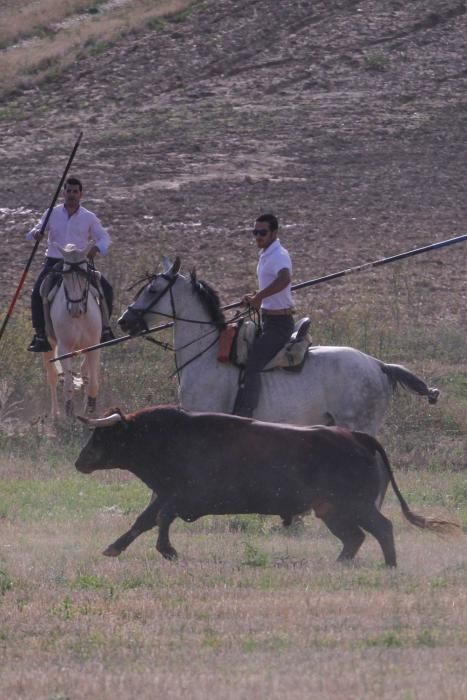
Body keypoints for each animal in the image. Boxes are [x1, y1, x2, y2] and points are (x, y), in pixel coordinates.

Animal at [43, 245, 101, 416]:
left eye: (84, 274)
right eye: (65, 276)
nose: (76, 310)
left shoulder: (94, 346)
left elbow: (92, 381)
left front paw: (90, 407)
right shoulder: (64, 349)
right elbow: (68, 384)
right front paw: (69, 412)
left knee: (84, 370)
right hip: (49, 346)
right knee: (52, 377)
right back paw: (55, 414)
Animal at [75, 408, 458, 568]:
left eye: (102, 436)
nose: (80, 462)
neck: (165, 438)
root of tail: (357, 437)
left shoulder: (182, 496)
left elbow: (159, 519)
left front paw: (165, 550)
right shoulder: (167, 494)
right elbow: (146, 519)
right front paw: (118, 548)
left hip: (355, 506)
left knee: (382, 528)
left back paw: (389, 564)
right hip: (332, 511)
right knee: (355, 537)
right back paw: (341, 562)